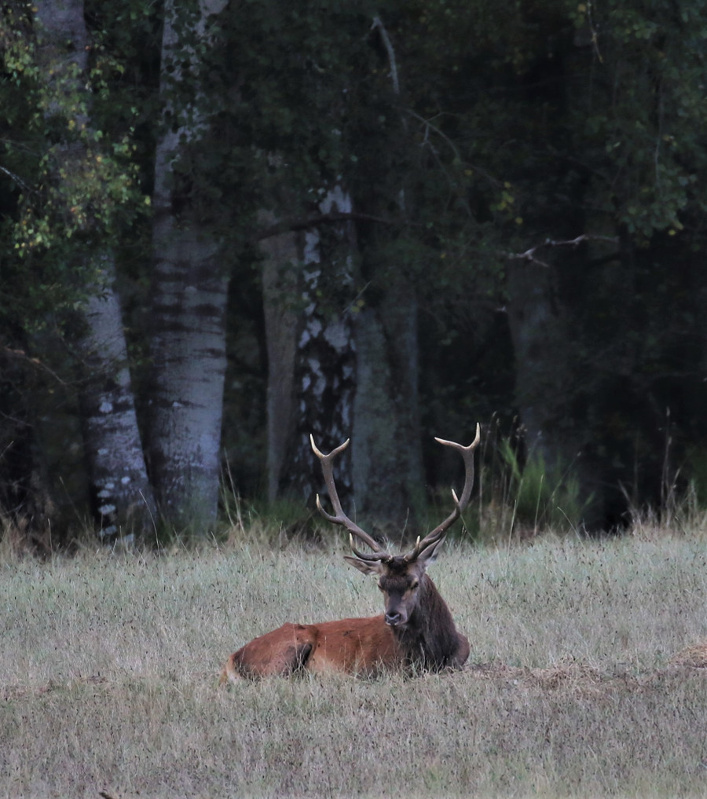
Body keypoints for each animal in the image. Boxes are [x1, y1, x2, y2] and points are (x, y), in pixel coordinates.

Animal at [218, 424, 482, 680]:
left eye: (414, 582)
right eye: (380, 585)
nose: (392, 617)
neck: (438, 652)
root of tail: (231, 659)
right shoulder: (373, 667)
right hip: (287, 649)